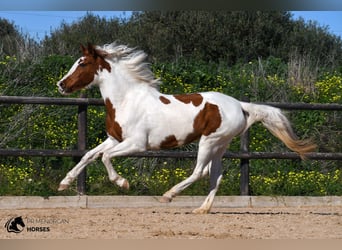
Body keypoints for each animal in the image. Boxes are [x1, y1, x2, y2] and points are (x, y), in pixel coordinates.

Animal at [55, 42, 316, 214]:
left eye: (82, 63)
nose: (61, 85)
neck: (127, 100)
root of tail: (240, 105)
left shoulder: (137, 144)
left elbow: (105, 158)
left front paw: (122, 183)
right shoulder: (115, 139)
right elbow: (89, 155)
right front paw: (64, 183)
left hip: (209, 141)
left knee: (200, 172)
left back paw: (168, 196)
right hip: (220, 145)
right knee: (216, 175)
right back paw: (202, 209)